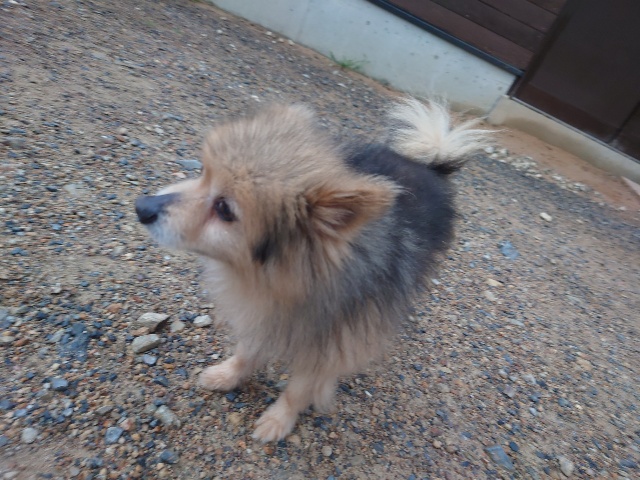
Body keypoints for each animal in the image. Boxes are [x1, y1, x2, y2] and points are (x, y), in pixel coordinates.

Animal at [135, 98, 489, 442]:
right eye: (204, 173)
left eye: (224, 209)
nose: (141, 206)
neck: (281, 279)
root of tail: (429, 163)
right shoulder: (262, 315)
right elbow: (247, 352)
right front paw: (229, 374)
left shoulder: (330, 345)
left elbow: (298, 390)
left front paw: (278, 420)